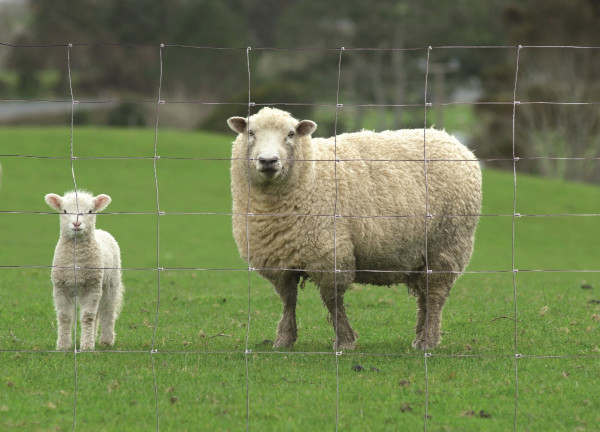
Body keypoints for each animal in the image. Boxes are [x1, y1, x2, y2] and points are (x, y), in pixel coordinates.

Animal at [45, 190, 124, 352]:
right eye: (64, 211)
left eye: (90, 211)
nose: (76, 223)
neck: (77, 261)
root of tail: (100, 231)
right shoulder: (60, 286)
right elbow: (64, 317)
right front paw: (63, 346)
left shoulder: (92, 285)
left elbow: (87, 317)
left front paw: (87, 346)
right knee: (97, 314)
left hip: (110, 283)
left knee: (107, 311)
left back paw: (106, 341)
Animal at [227, 108, 480, 352]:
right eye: (251, 133)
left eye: (290, 134)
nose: (268, 161)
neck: (311, 176)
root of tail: (450, 139)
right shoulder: (279, 260)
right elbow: (288, 300)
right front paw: (284, 340)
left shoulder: (330, 254)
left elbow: (332, 300)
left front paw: (344, 341)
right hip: (421, 256)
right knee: (424, 297)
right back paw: (420, 335)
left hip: (447, 244)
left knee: (435, 294)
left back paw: (428, 340)